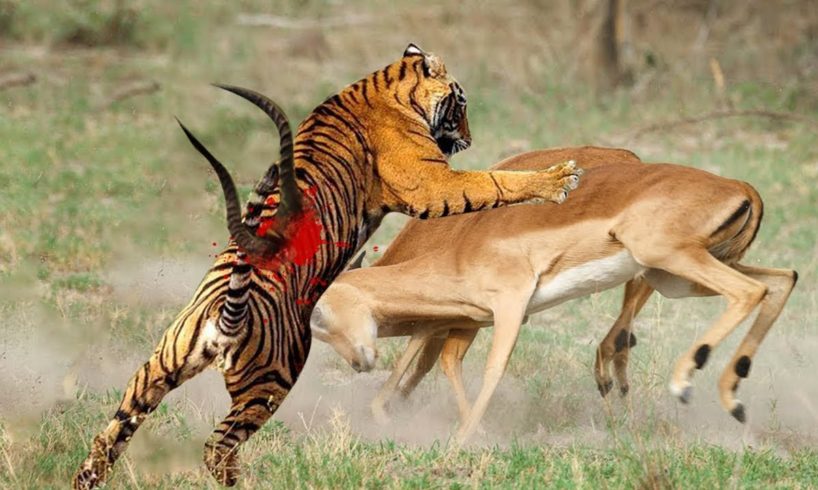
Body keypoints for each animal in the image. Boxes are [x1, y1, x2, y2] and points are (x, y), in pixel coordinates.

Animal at [73, 43, 582, 488]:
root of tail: (225, 316)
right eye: (461, 103)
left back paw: (88, 478)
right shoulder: (432, 185)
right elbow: (495, 181)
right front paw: (559, 179)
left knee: (110, 436)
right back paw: (247, 483)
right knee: (217, 447)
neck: (383, 85)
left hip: (154, 371)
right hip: (270, 383)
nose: (471, 138)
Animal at [310, 146, 798, 443]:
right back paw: (732, 401)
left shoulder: (509, 308)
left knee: (750, 291)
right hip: (677, 276)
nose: (357, 363)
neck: (455, 248)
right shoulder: (466, 319)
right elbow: (434, 360)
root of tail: (740, 187)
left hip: (666, 260)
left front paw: (462, 439)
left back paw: (682, 384)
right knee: (780, 281)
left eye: (318, 316)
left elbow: (491, 370)